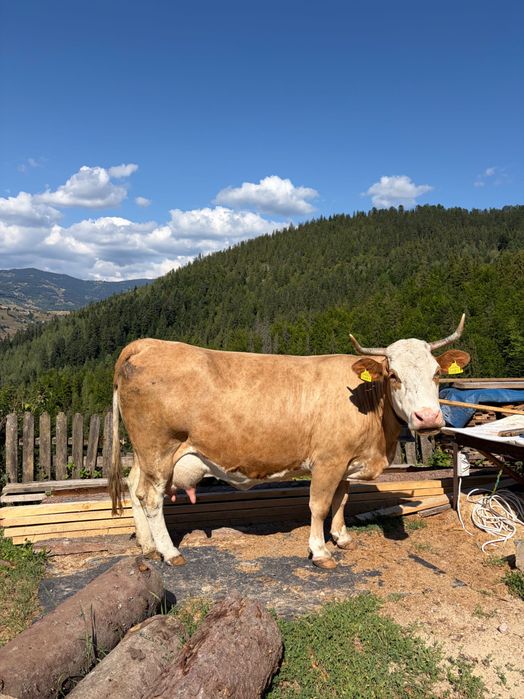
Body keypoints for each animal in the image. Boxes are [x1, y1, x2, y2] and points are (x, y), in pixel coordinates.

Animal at [110, 316, 469, 569]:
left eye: (437, 372)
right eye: (393, 375)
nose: (428, 417)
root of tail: (148, 344)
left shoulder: (345, 462)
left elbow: (341, 501)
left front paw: (342, 538)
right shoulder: (327, 460)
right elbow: (319, 505)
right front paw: (320, 551)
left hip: (145, 454)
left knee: (134, 487)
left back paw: (148, 547)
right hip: (158, 448)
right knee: (151, 497)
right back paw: (170, 552)